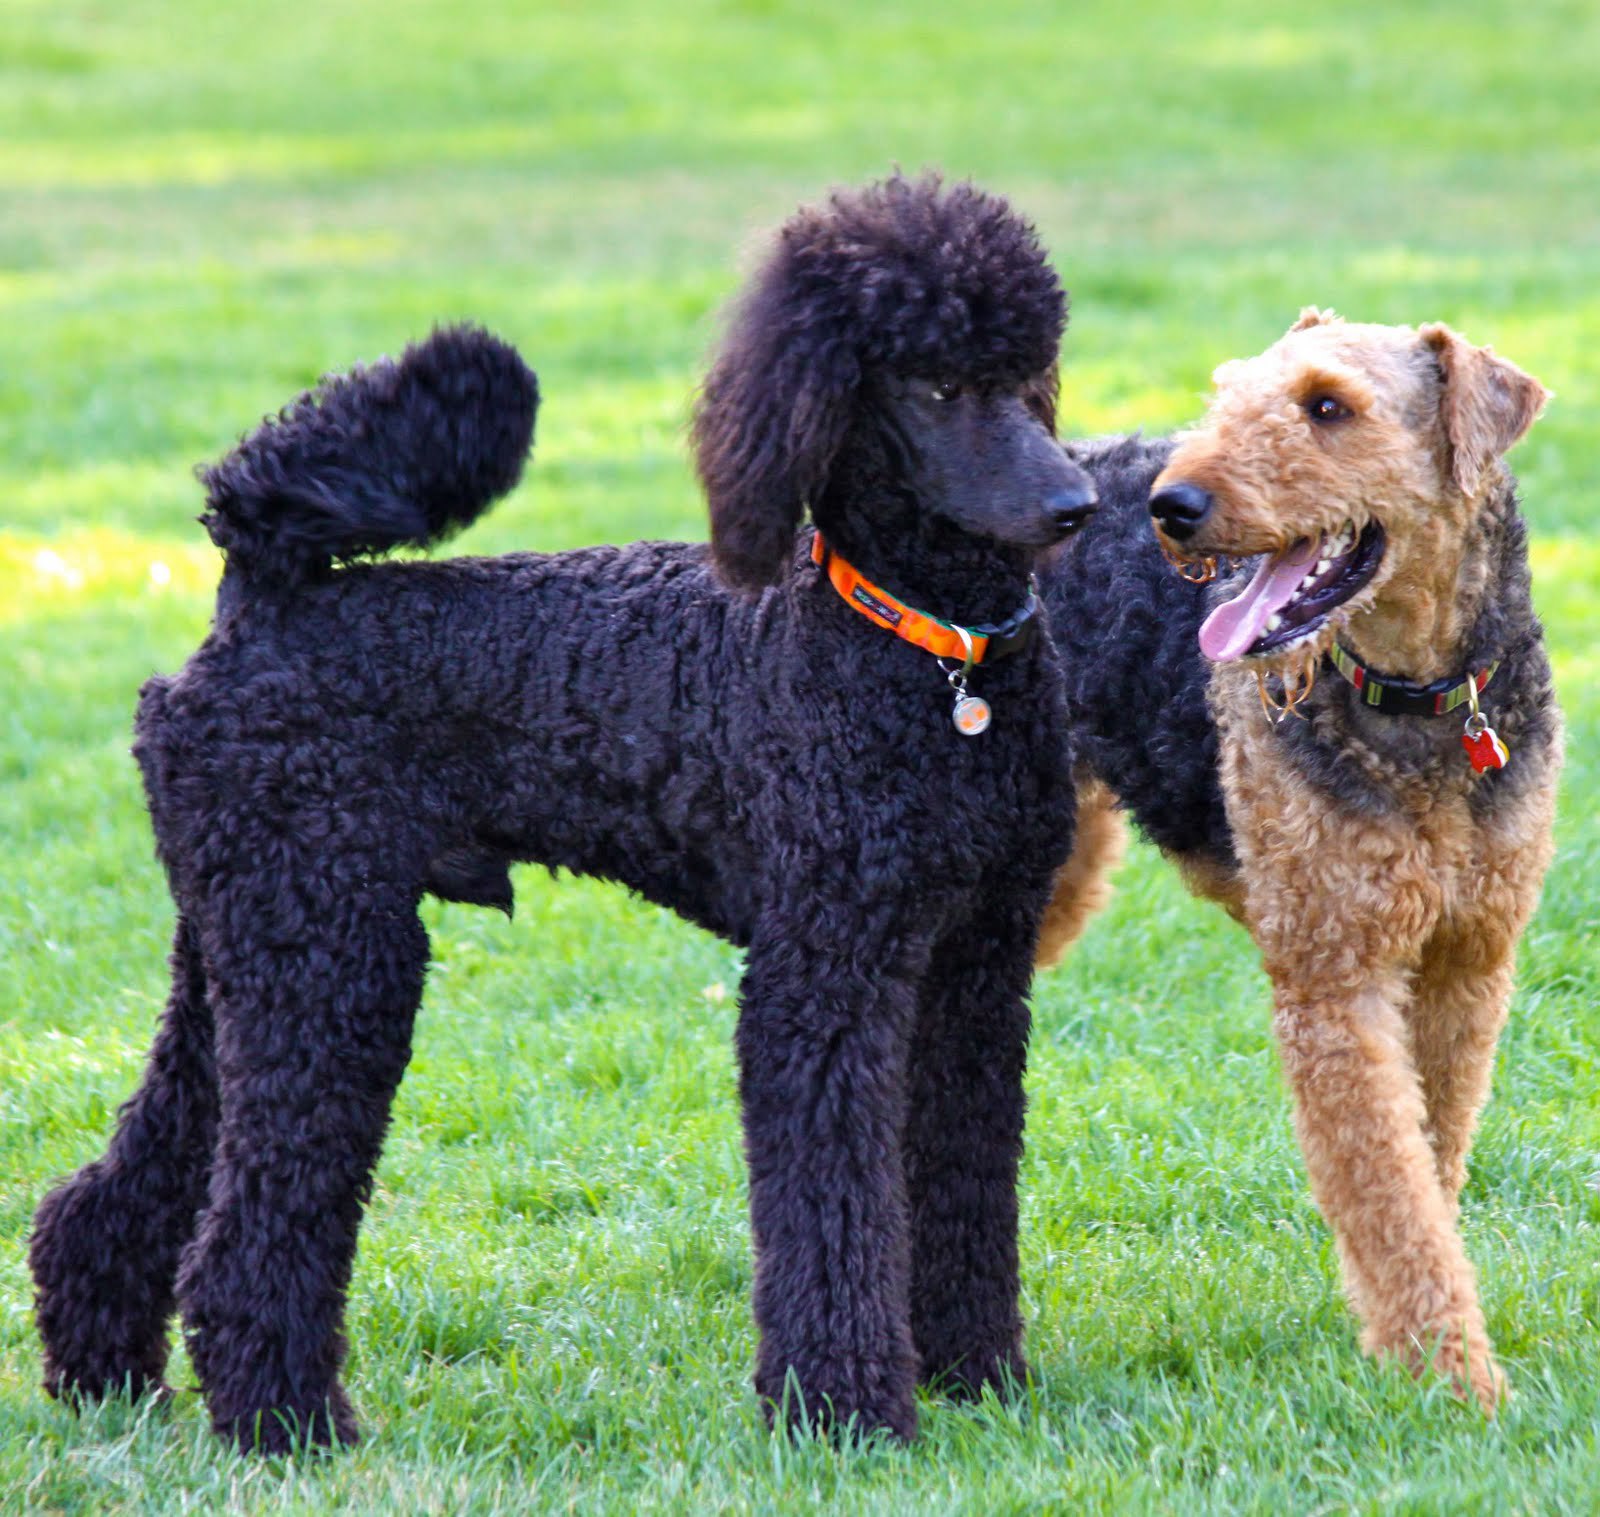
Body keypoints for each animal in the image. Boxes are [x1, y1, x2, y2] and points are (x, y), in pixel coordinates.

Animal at [1039, 309, 1560, 1412]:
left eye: (1329, 405)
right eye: (1227, 392)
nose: (1173, 507)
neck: (1418, 700)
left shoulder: (1463, 964)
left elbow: (1427, 1164)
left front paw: (1419, 1354)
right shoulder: (1335, 977)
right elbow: (1388, 1184)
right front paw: (1455, 1379)